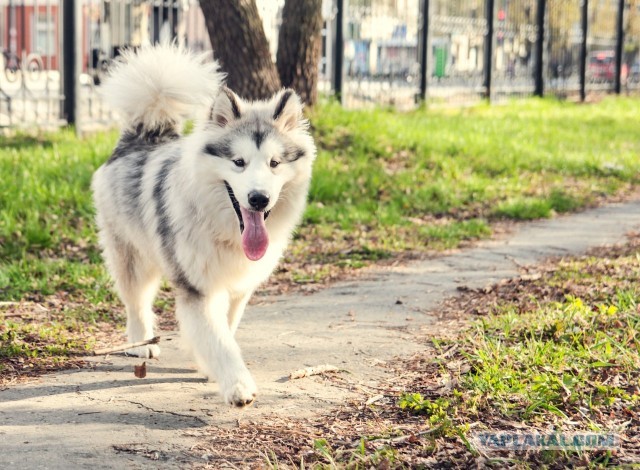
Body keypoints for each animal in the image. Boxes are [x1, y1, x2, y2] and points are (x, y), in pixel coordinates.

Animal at [91, 43, 316, 404]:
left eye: (274, 163)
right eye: (238, 162)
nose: (258, 199)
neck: (226, 231)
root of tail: (146, 134)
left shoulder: (238, 288)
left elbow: (226, 329)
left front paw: (210, 366)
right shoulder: (198, 288)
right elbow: (220, 341)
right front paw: (238, 385)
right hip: (132, 254)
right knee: (136, 300)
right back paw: (141, 344)